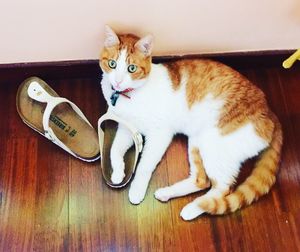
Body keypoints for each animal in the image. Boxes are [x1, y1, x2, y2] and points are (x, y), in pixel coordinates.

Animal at [99, 24, 282, 220]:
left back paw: (194, 208)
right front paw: (118, 173)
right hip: (197, 142)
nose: (118, 81)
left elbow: (144, 165)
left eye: (131, 68)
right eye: (112, 64)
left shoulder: (160, 134)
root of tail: (268, 110)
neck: (129, 96)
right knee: (202, 180)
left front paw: (137, 190)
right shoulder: (127, 129)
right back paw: (168, 193)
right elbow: (115, 150)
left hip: (215, 146)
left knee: (223, 188)